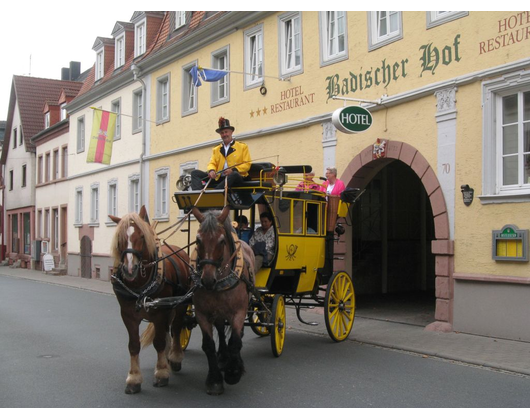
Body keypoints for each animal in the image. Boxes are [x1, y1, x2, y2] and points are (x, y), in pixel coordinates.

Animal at [108, 206, 189, 394]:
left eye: (142, 236)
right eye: (120, 239)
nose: (130, 269)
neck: (140, 285)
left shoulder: (160, 313)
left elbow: (158, 342)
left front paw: (161, 373)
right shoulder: (128, 315)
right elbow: (133, 345)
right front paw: (133, 379)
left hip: (180, 305)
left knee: (176, 328)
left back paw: (174, 357)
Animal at [191, 207, 255, 398]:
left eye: (221, 241)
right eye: (198, 240)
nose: (207, 280)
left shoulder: (239, 312)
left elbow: (236, 341)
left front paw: (233, 372)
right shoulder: (202, 314)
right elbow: (209, 345)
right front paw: (214, 380)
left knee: (237, 335)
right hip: (218, 312)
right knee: (220, 329)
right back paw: (223, 357)